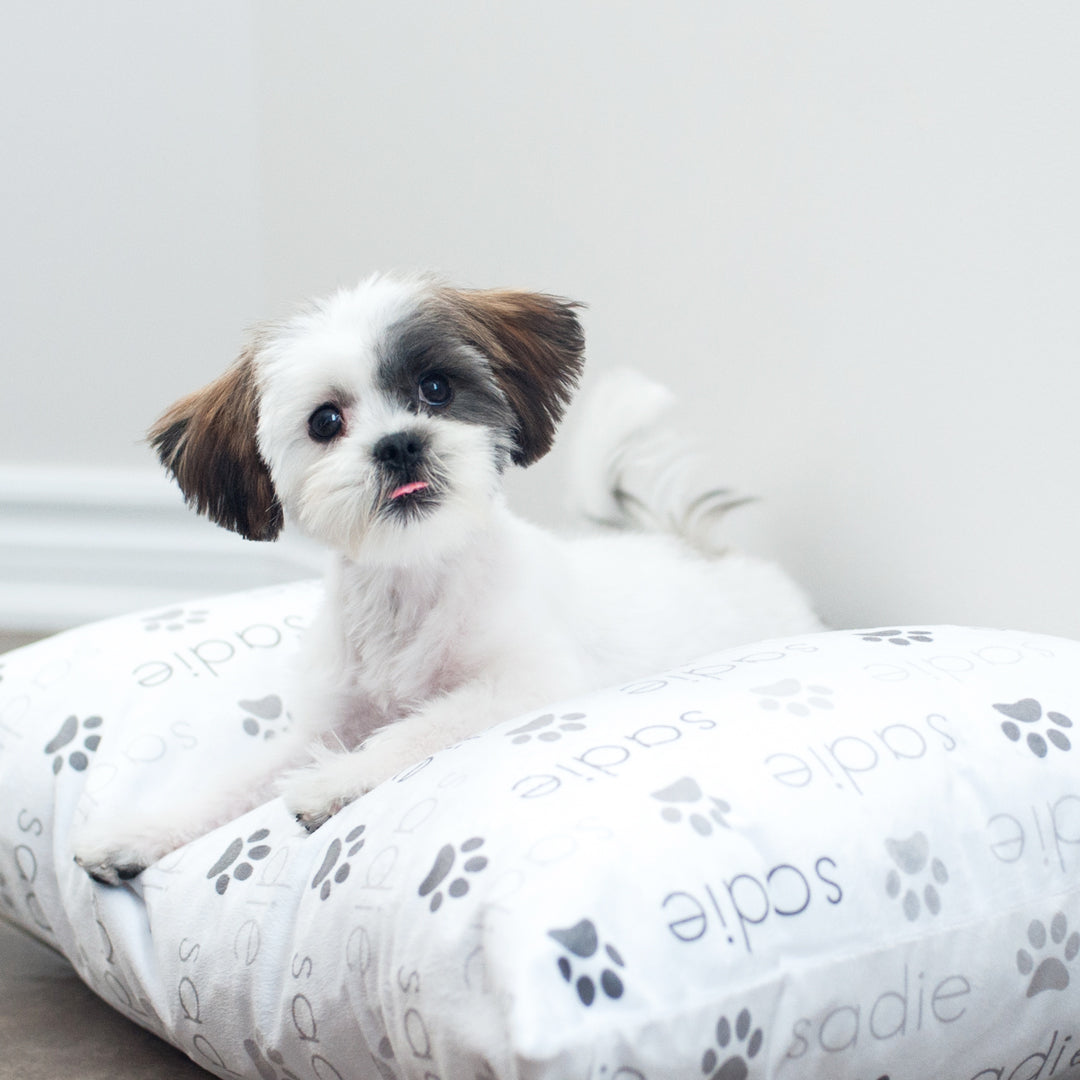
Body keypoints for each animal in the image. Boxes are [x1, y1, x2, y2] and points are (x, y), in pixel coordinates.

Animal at [73, 274, 816, 881]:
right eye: (325, 421)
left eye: (436, 388)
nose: (400, 443)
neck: (411, 585)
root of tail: (698, 546)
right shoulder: (324, 724)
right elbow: (235, 781)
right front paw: (137, 831)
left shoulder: (525, 686)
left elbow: (421, 727)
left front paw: (336, 782)